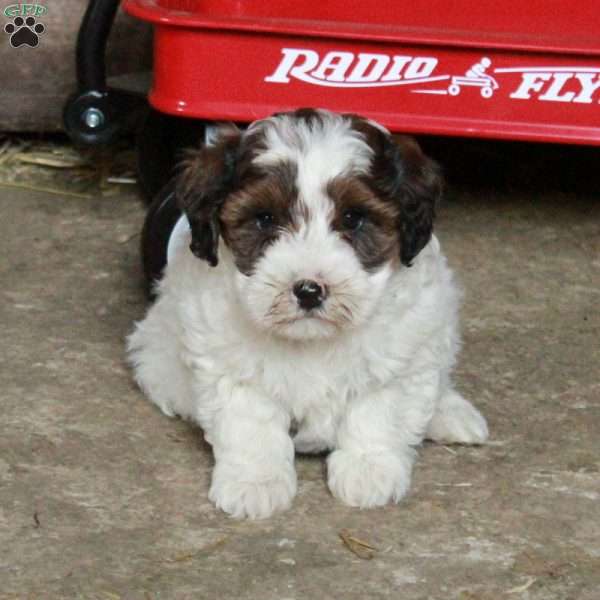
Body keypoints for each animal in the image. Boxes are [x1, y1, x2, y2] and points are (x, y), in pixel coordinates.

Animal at [127, 109, 488, 520]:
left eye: (354, 218)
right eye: (265, 219)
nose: (309, 290)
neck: (312, 340)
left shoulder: (401, 353)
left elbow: (379, 409)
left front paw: (368, 469)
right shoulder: (228, 364)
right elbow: (250, 421)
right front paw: (255, 483)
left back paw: (451, 413)